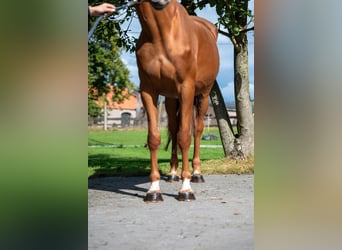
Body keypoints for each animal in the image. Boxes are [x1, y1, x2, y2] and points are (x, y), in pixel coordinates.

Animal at [136, 0, 219, 202]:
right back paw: (173, 173)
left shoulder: (186, 89)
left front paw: (186, 189)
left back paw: (196, 173)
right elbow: (154, 138)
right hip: (171, 98)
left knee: (196, 130)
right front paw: (153, 190)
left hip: (202, 96)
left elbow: (185, 136)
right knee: (173, 129)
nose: (160, 2)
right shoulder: (148, 91)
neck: (161, 36)